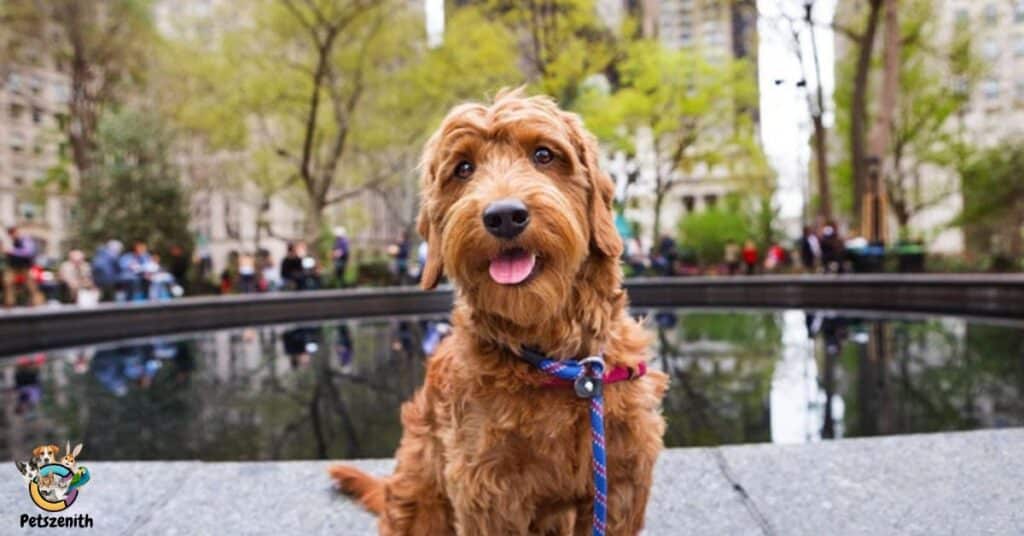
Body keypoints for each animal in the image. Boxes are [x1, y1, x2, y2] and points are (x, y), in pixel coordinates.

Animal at [327, 89, 663, 536]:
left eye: (544, 154)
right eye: (463, 168)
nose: (504, 215)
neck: (558, 362)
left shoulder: (621, 482)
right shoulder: (489, 490)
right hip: (421, 501)